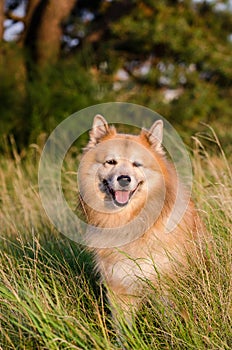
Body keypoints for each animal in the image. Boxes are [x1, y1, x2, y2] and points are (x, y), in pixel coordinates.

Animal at [78, 114, 205, 320]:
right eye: (111, 162)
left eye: (136, 164)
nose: (124, 179)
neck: (128, 221)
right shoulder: (119, 287)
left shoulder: (165, 287)